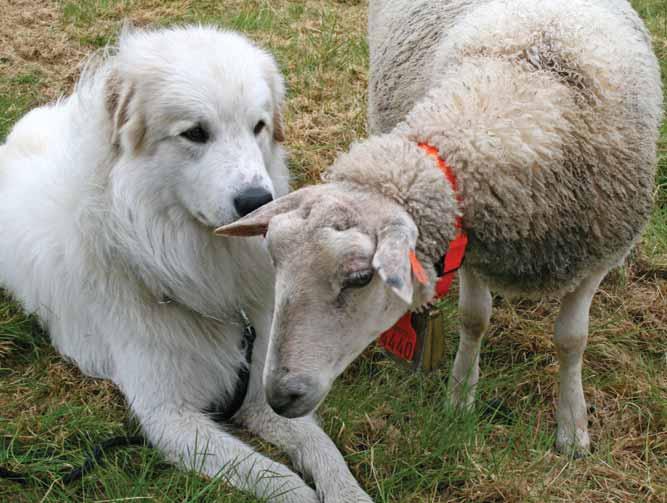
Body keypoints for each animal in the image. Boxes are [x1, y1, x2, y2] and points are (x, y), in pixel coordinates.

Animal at [0, 26, 374, 503]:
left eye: (258, 127)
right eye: (195, 133)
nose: (258, 201)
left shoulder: (256, 394)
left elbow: (323, 451)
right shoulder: (169, 418)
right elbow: (277, 477)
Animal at [219, 0, 664, 456]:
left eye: (360, 278)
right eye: (275, 260)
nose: (277, 397)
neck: (520, 90)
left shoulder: (597, 255)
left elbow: (571, 339)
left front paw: (572, 427)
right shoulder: (471, 242)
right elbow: (474, 319)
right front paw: (461, 394)